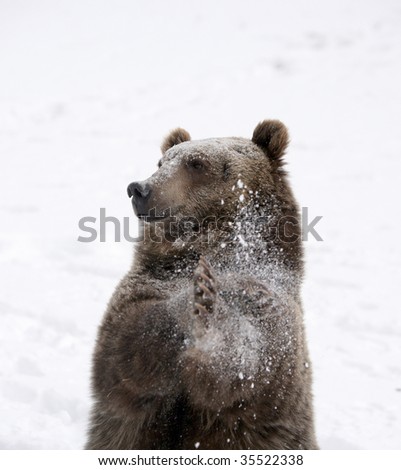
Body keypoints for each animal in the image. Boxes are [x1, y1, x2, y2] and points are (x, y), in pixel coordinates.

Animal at [85, 119, 318, 450]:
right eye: (162, 161)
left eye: (197, 163)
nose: (139, 189)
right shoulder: (146, 284)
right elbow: (127, 349)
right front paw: (195, 298)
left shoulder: (270, 304)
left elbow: (250, 366)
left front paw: (208, 308)